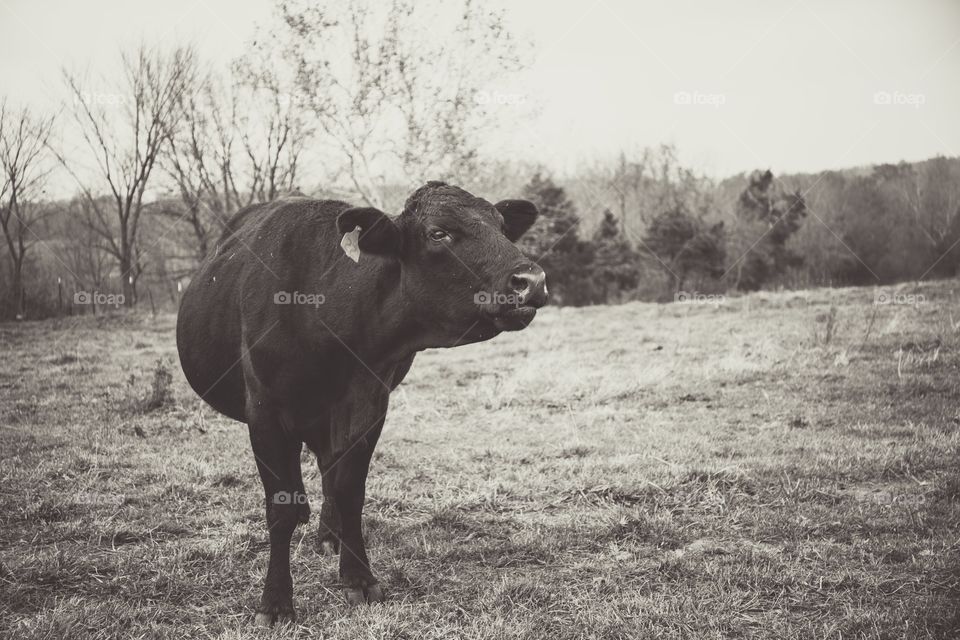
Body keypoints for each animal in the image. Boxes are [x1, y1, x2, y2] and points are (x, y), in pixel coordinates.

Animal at [176, 181, 547, 624]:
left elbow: (349, 490)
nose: (532, 280)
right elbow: (280, 508)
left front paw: (358, 577)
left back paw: (328, 533)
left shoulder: (369, 403)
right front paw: (276, 601)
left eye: (503, 226)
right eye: (438, 233)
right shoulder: (263, 412)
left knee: (327, 469)